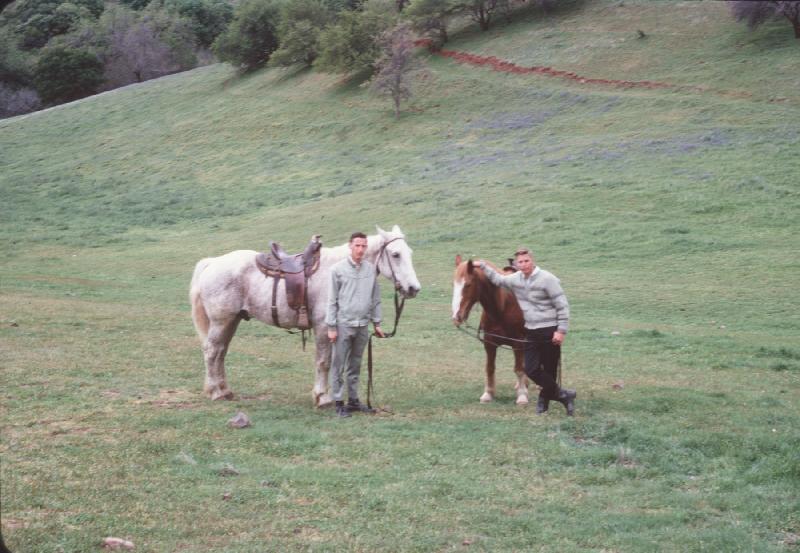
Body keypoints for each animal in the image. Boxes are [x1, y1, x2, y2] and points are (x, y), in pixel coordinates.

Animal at [190, 224, 422, 406]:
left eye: (410, 253)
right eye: (395, 254)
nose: (413, 288)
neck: (336, 270)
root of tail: (212, 262)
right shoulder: (323, 328)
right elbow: (324, 361)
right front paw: (322, 398)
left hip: (232, 321)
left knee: (221, 352)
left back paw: (225, 390)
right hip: (221, 321)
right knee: (212, 351)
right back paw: (216, 392)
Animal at [450, 256, 532, 404]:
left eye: (468, 284)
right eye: (454, 284)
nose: (456, 317)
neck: (502, 307)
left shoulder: (518, 343)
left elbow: (518, 369)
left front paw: (522, 396)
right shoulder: (489, 343)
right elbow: (489, 368)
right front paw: (488, 394)